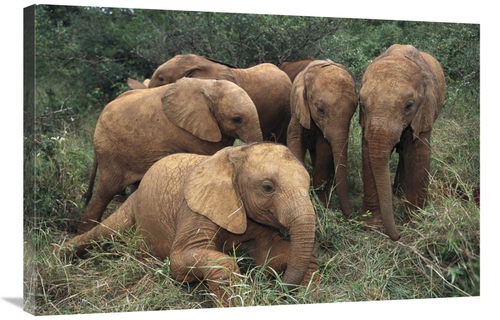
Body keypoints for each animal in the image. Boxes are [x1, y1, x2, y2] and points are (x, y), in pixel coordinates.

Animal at [57, 143, 320, 308]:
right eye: (267, 187)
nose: (281, 288)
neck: (233, 157)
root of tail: (137, 191)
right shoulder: (194, 208)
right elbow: (183, 257)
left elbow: (270, 254)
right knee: (106, 232)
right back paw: (57, 257)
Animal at [286, 58, 360, 218]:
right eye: (320, 109)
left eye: (354, 111)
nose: (354, 214)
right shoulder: (298, 109)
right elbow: (295, 141)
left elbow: (325, 150)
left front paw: (321, 206)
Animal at [358, 44, 448, 240]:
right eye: (362, 104)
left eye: (409, 106)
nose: (398, 236)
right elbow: (368, 151)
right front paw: (371, 227)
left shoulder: (424, 110)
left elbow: (417, 154)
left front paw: (415, 225)